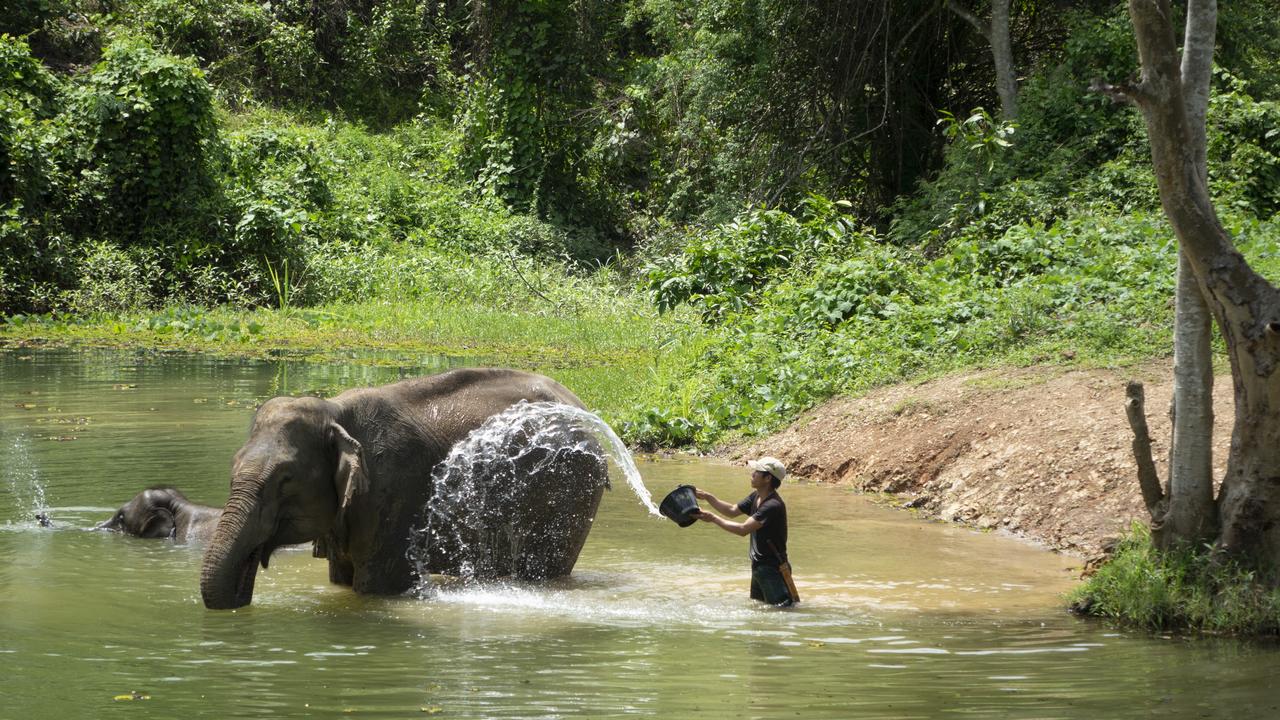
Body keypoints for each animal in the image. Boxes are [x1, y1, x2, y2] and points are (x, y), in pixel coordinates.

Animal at [199, 368, 610, 610]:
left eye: (285, 480)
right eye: (233, 468)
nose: (241, 596)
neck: (335, 410)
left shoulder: (394, 492)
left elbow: (374, 587)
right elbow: (340, 578)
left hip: (569, 490)